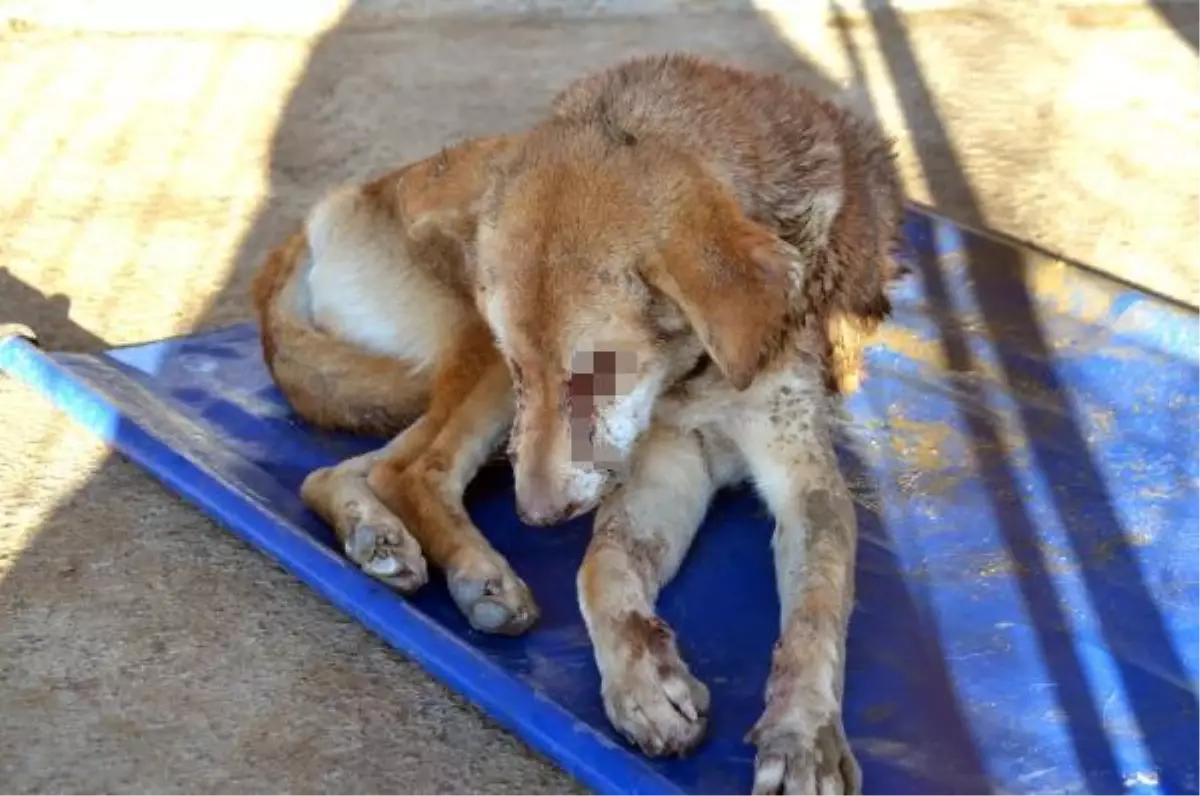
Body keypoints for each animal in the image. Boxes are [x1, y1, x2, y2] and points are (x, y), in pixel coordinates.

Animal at [250, 54, 902, 796]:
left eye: (599, 372)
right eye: (523, 363)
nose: (533, 518)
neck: (694, 373)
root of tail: (326, 212)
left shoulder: (806, 484)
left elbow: (815, 614)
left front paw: (801, 733)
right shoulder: (659, 467)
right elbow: (600, 570)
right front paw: (642, 684)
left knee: (348, 469)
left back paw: (375, 534)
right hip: (480, 366)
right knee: (412, 468)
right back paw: (476, 573)